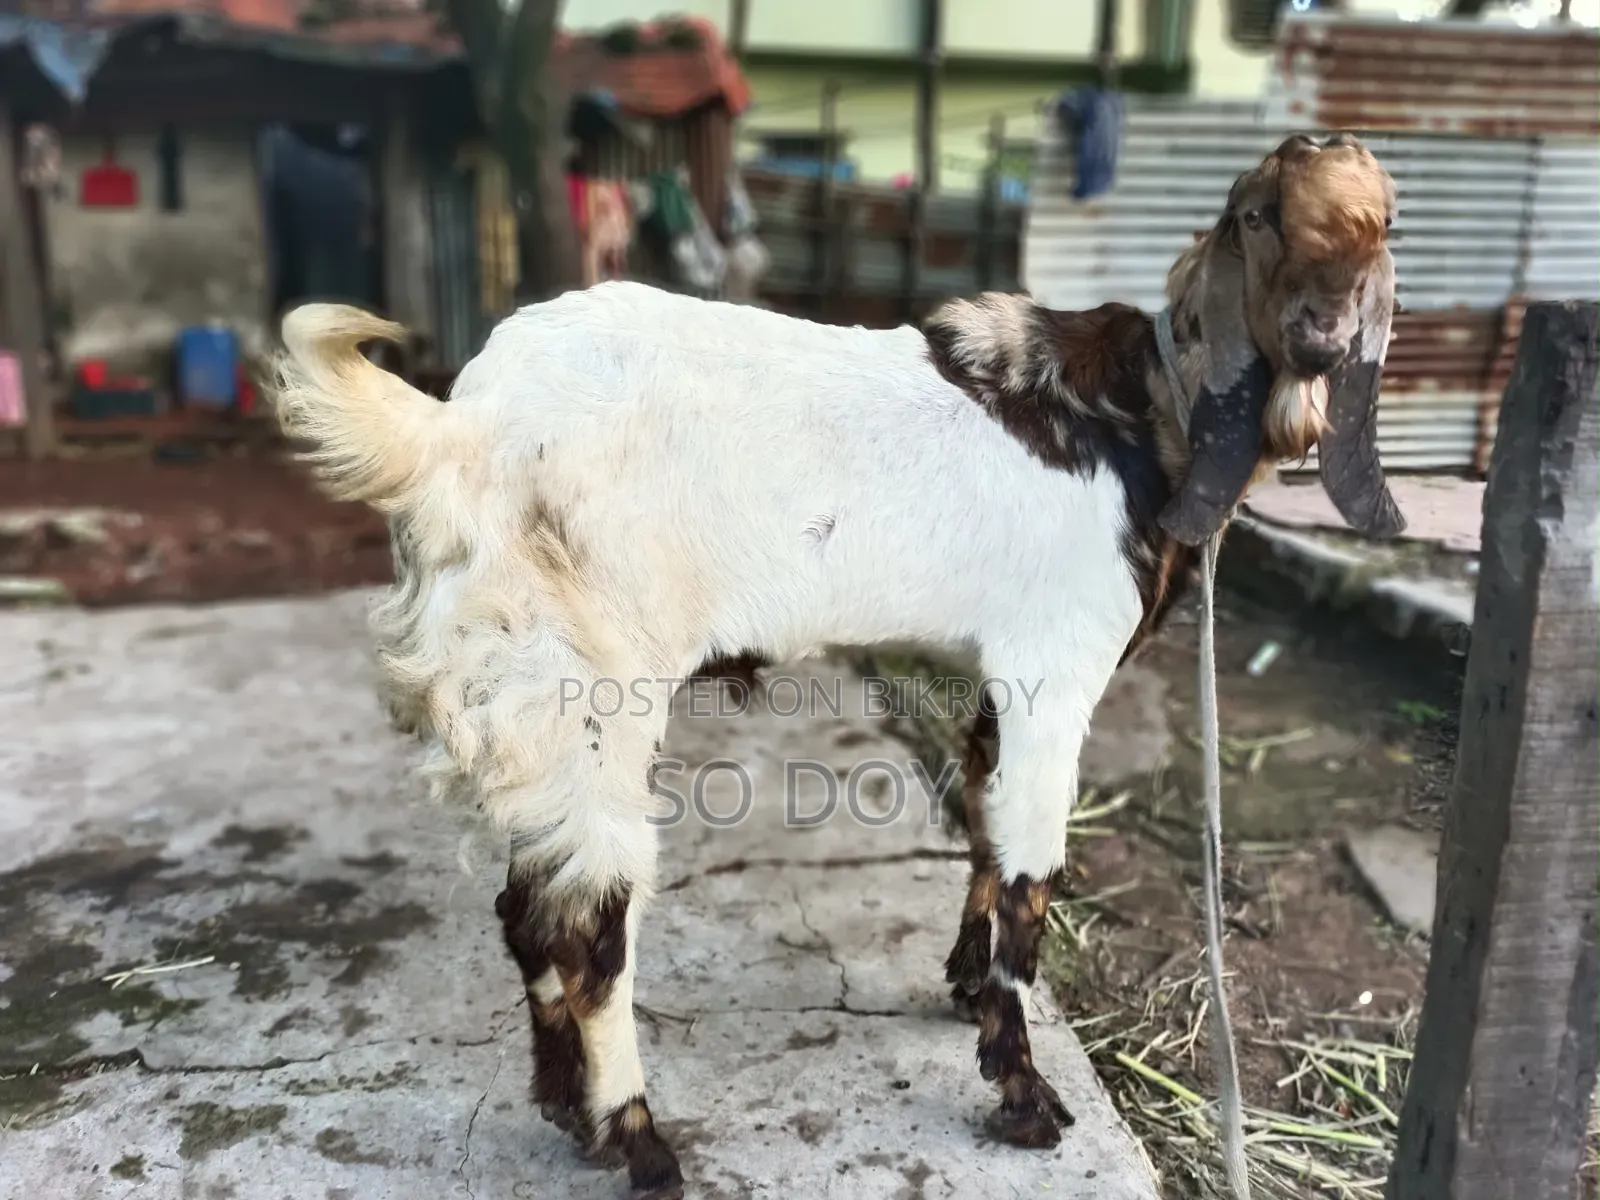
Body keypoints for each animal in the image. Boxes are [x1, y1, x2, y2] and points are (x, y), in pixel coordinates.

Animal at [271, 133, 1404, 1199]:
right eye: (1257, 217)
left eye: (1384, 229)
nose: (1320, 331)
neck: (1146, 413)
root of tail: (454, 430)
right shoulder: (1056, 673)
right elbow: (1031, 879)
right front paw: (1025, 1097)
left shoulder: (998, 677)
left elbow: (983, 829)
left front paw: (963, 990)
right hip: (589, 688)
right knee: (589, 929)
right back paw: (638, 1140)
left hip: (532, 706)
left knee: (529, 913)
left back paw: (566, 1110)